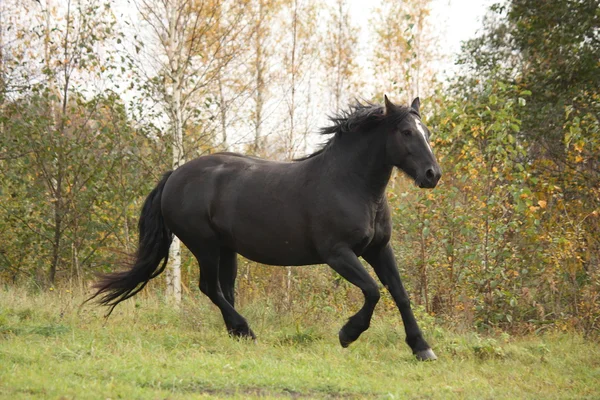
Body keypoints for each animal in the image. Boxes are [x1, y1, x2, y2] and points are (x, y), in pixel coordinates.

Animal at [91, 97, 442, 362]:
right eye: (406, 132)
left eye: (426, 131)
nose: (432, 174)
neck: (350, 185)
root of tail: (174, 175)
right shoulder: (338, 254)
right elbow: (372, 291)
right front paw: (347, 334)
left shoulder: (379, 249)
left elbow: (400, 294)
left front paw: (421, 348)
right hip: (204, 245)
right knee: (210, 287)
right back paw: (245, 330)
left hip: (226, 249)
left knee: (224, 290)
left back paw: (237, 332)